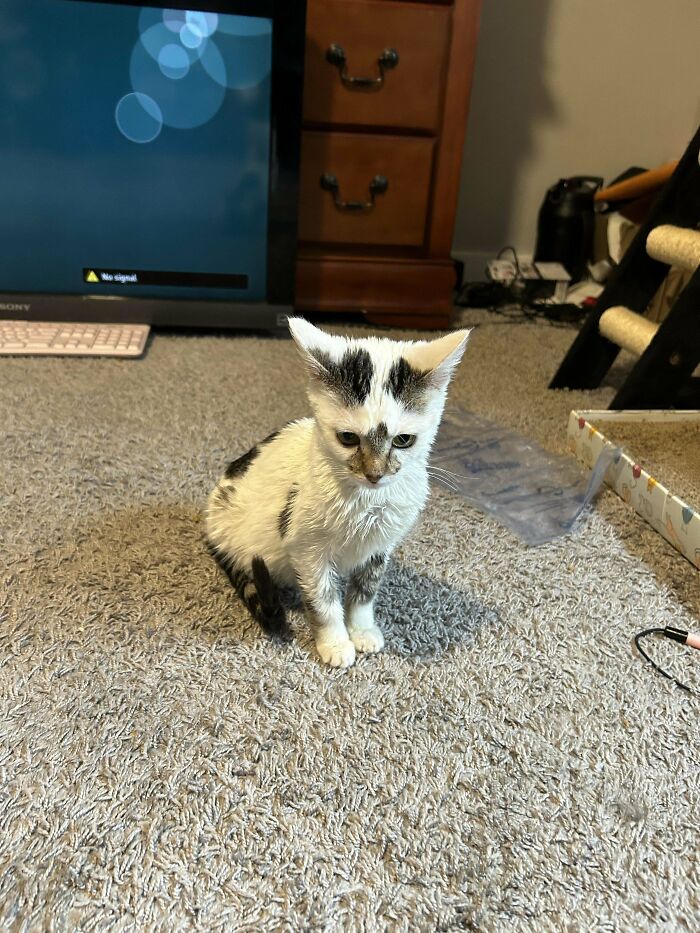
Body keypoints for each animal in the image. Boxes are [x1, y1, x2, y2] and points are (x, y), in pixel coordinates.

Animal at [208, 316, 470, 668]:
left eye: (403, 440)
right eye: (348, 438)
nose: (375, 474)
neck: (366, 500)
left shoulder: (380, 545)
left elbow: (365, 589)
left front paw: (362, 630)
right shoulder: (306, 549)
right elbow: (323, 598)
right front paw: (335, 643)